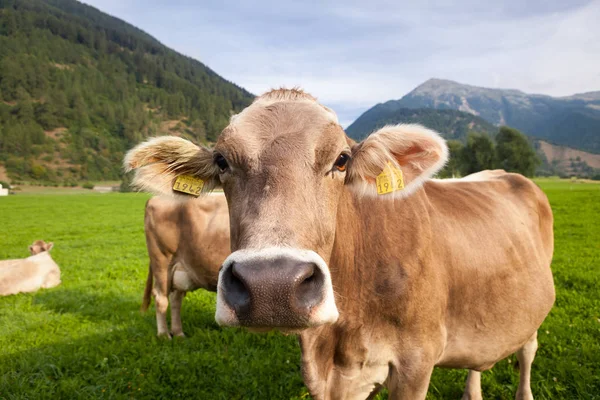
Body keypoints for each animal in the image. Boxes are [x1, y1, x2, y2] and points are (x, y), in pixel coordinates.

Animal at [143, 194, 230, 338]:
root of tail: (156, 197)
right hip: (162, 261)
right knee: (161, 297)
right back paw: (164, 335)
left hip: (178, 268)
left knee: (175, 299)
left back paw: (178, 333)